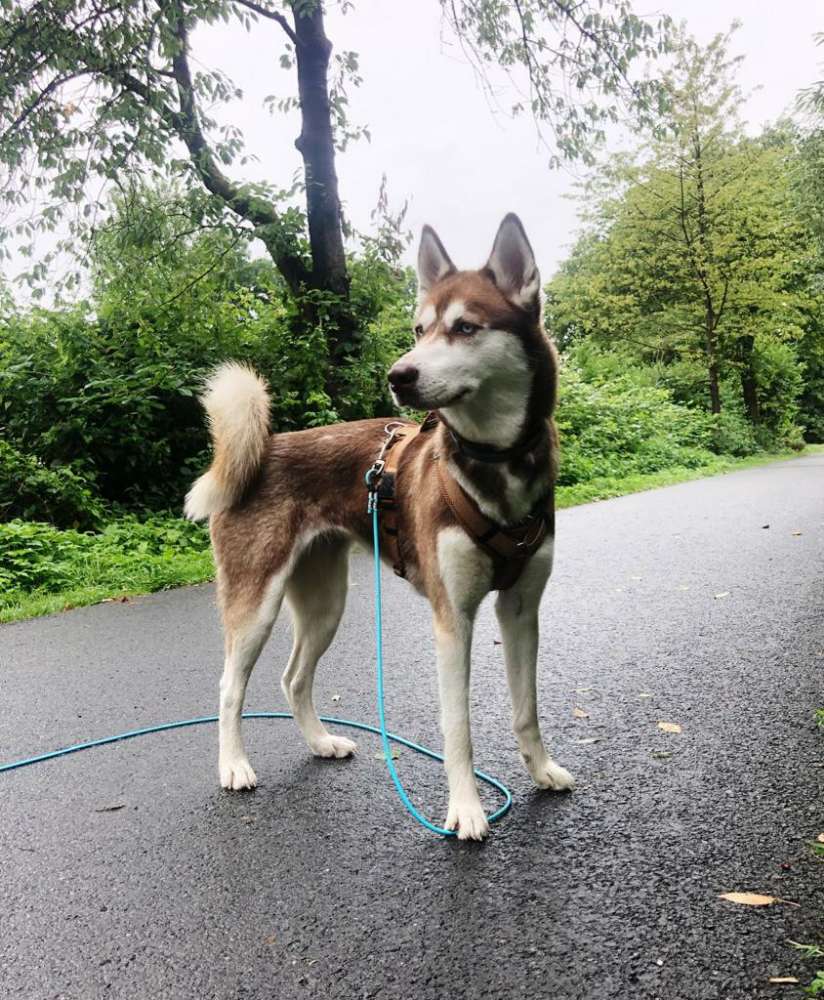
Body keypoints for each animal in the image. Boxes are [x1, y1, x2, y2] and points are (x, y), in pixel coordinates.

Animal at [186, 215, 572, 840]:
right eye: (419, 328)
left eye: (465, 327)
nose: (399, 375)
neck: (494, 462)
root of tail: (261, 449)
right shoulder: (452, 620)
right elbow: (458, 729)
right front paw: (466, 809)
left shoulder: (520, 609)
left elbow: (526, 710)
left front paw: (541, 771)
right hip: (255, 604)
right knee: (229, 688)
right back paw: (234, 766)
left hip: (326, 604)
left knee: (294, 679)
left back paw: (320, 742)